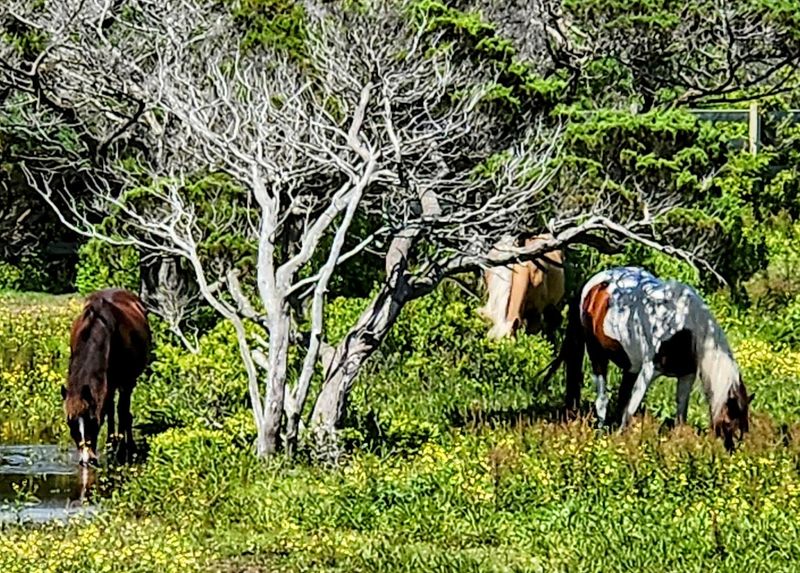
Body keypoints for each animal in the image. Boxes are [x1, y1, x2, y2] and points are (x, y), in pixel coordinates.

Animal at [61, 289, 151, 466]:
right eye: (70, 423)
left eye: (92, 421)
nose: (86, 460)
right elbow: (108, 410)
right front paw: (111, 446)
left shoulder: (124, 383)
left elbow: (122, 412)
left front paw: (122, 449)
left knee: (123, 411)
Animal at [544, 266, 752, 451]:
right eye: (730, 421)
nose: (731, 451)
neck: (684, 328)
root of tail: (592, 284)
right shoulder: (649, 371)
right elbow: (632, 407)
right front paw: (620, 440)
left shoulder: (686, 375)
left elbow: (680, 414)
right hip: (597, 355)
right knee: (602, 399)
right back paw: (601, 433)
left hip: (629, 366)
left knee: (620, 397)